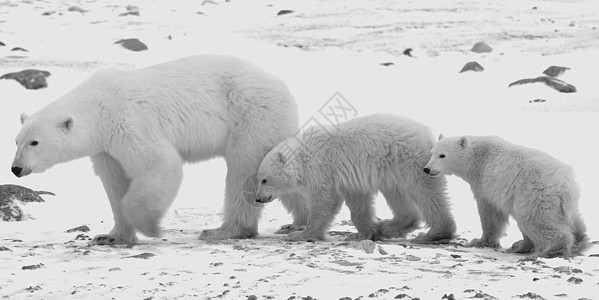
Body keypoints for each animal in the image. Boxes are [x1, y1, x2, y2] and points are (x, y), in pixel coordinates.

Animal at [11, 55, 308, 245]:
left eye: (34, 142)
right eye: (16, 141)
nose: (16, 168)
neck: (98, 105)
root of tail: (283, 87)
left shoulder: (128, 121)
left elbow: (159, 164)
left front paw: (150, 227)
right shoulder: (106, 147)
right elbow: (115, 182)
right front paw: (111, 236)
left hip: (251, 117)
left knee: (244, 171)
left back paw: (224, 230)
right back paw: (299, 222)